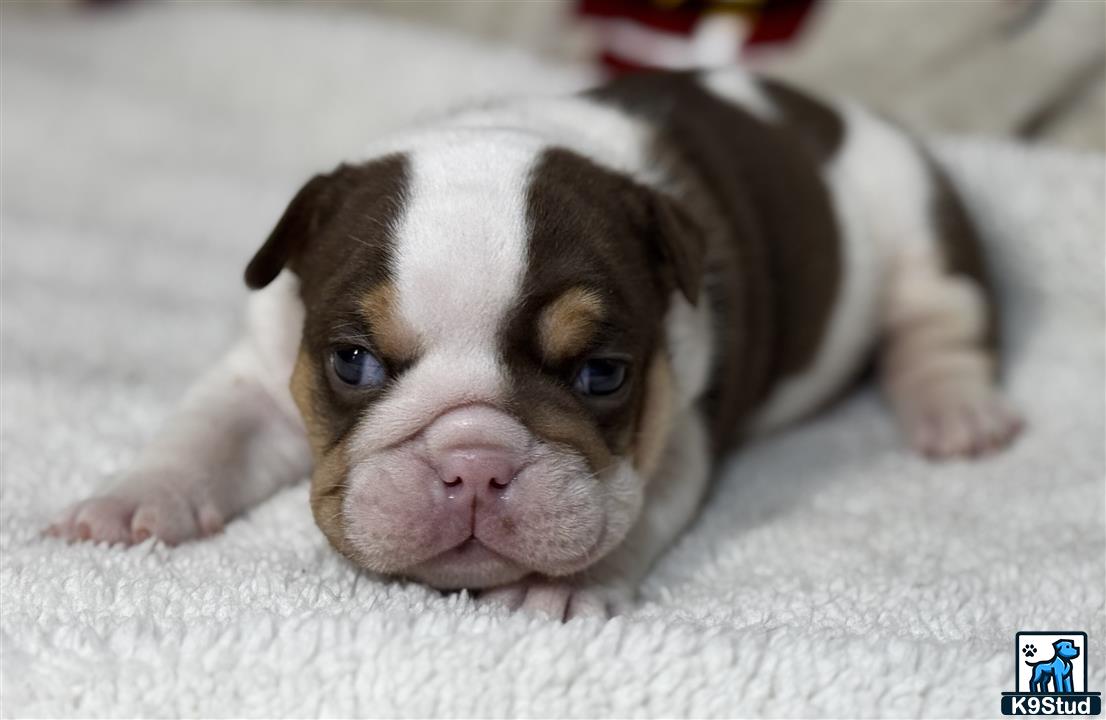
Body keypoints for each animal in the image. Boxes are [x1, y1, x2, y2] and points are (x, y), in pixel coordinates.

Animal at [49, 69, 1017, 619]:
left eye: (601, 375)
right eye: (352, 362)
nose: (474, 466)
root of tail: (833, 109)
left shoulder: (673, 435)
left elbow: (634, 513)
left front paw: (566, 584)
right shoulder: (259, 372)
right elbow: (206, 432)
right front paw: (133, 502)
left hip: (924, 232)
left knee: (940, 326)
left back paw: (953, 410)